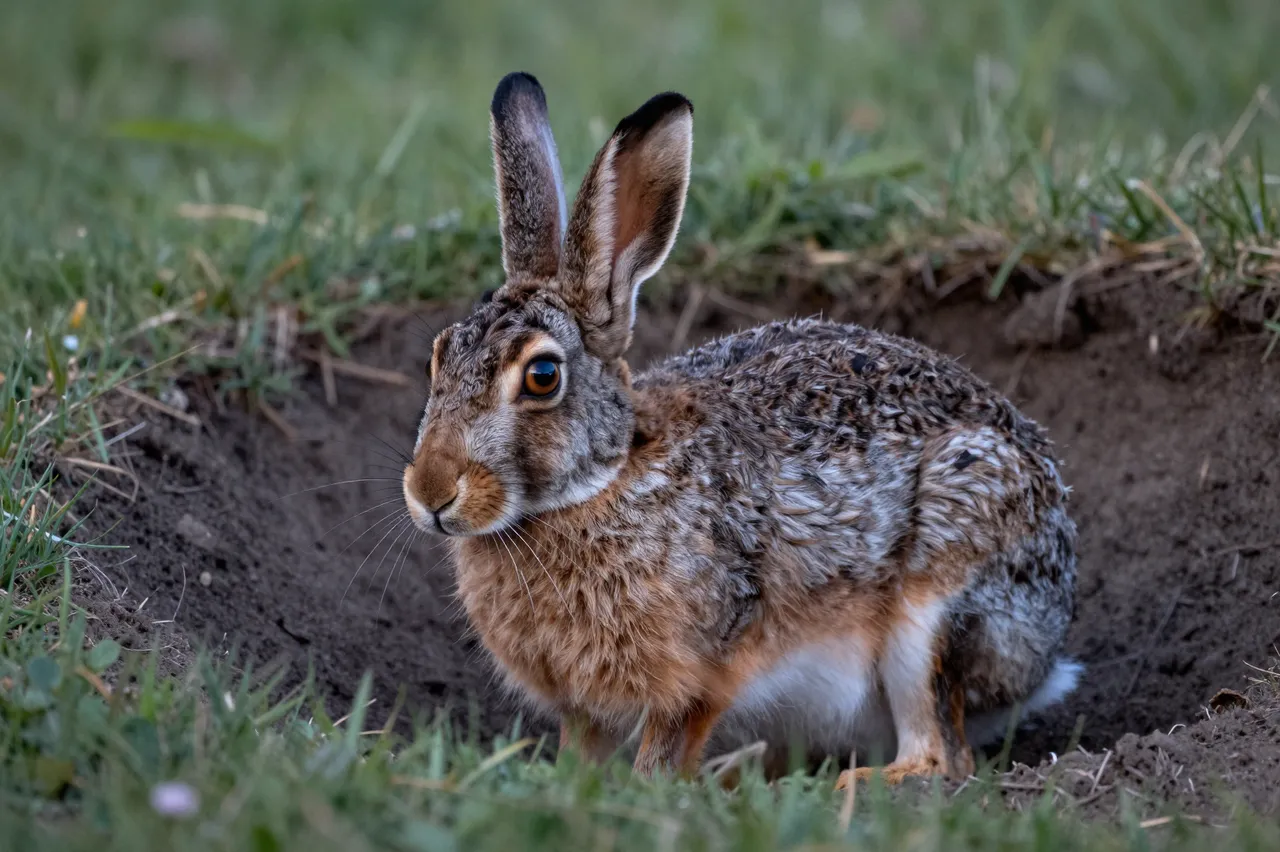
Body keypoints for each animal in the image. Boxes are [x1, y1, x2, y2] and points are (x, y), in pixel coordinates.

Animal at [402, 71, 1080, 788]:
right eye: (439, 356)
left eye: (542, 376)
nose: (430, 492)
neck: (601, 481)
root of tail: (1044, 657)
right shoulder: (583, 706)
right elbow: (581, 751)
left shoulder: (701, 673)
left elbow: (667, 745)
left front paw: (651, 790)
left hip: (942, 593)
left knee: (942, 755)